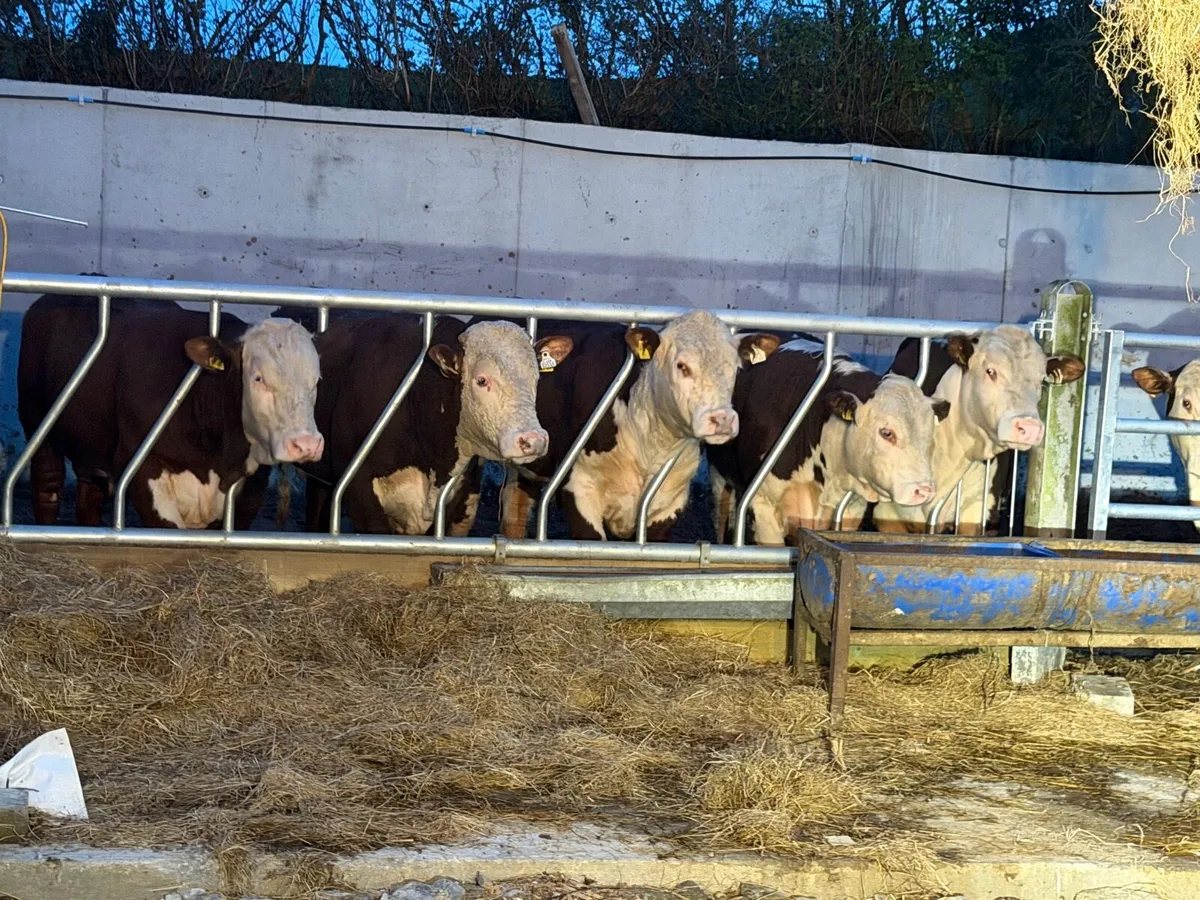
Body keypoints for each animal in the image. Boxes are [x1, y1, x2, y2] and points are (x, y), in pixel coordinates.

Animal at [17, 292, 323, 529]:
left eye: (317, 380)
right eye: (258, 378)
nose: (306, 444)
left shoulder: (251, 487)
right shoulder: (141, 467)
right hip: (37, 423)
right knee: (47, 486)